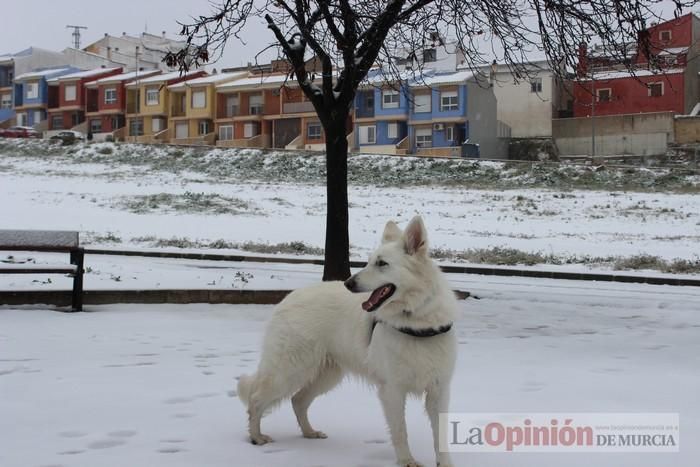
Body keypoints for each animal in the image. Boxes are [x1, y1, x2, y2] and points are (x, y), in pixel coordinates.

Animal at [239, 218, 460, 466]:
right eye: (369, 262)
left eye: (381, 263)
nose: (348, 283)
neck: (416, 320)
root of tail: (289, 296)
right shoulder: (392, 390)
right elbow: (400, 431)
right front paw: (406, 461)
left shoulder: (439, 391)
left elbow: (440, 435)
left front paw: (445, 464)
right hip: (290, 371)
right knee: (256, 399)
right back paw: (256, 436)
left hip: (326, 376)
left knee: (298, 400)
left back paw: (309, 433)